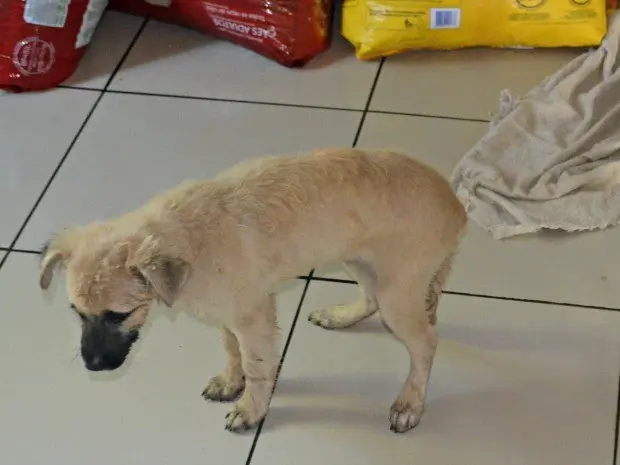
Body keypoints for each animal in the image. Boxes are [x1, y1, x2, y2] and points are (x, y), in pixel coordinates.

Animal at [37, 148, 464, 432]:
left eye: (118, 315)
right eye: (76, 311)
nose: (92, 365)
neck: (190, 236)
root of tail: (456, 205)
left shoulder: (253, 316)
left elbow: (258, 367)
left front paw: (251, 409)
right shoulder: (229, 313)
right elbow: (232, 350)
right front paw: (231, 381)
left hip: (396, 291)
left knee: (426, 343)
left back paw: (410, 403)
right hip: (362, 262)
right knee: (372, 300)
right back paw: (339, 316)